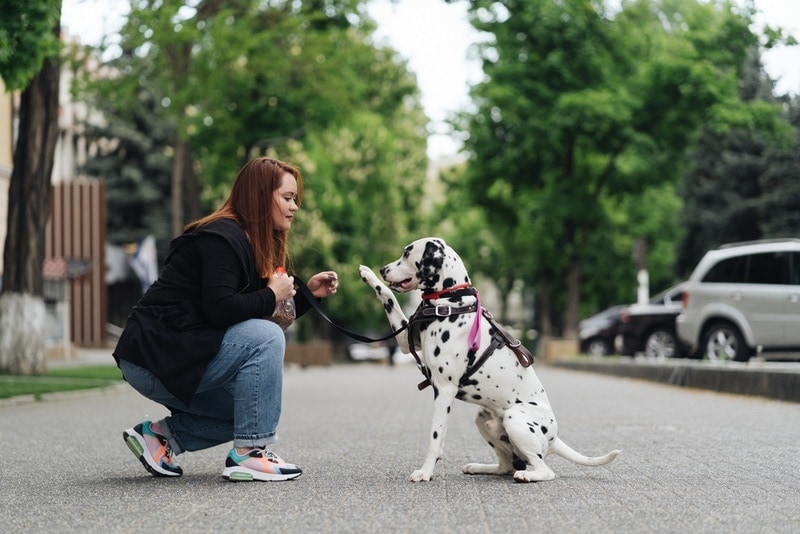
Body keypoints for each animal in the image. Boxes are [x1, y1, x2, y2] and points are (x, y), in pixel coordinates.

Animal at [360, 239, 620, 486]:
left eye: (406, 253)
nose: (383, 269)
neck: (450, 302)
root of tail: (554, 438)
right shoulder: (406, 343)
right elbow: (389, 297)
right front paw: (369, 275)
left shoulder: (445, 389)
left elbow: (434, 435)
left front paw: (425, 472)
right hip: (484, 419)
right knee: (507, 466)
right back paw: (479, 467)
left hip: (515, 419)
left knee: (544, 470)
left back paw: (527, 476)